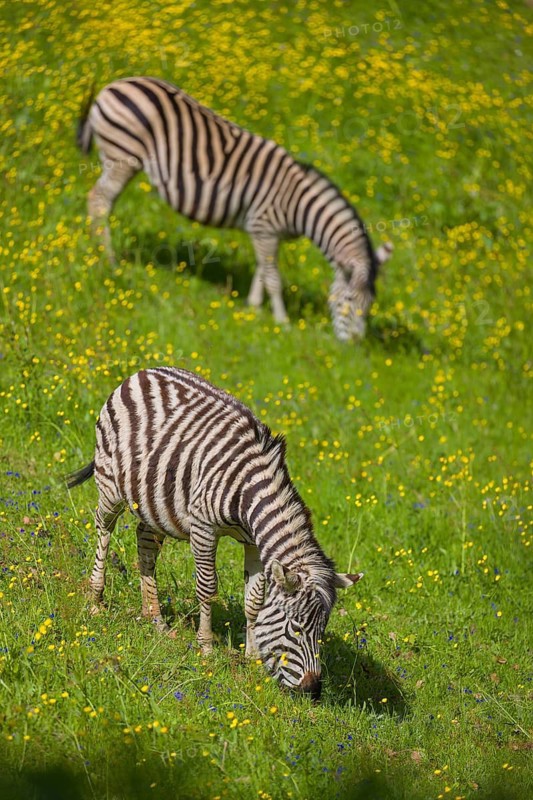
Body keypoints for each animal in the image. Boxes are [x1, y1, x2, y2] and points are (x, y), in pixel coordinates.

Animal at [66, 367, 363, 698]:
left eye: (322, 632)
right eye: (296, 628)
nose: (312, 691)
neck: (249, 492)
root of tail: (143, 372)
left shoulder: (253, 543)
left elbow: (254, 599)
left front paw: (252, 656)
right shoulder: (203, 528)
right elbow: (207, 587)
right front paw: (206, 647)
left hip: (153, 503)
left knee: (146, 544)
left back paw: (155, 618)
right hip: (110, 484)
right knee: (103, 528)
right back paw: (95, 598)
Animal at [77, 76, 393, 341]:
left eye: (370, 306)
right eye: (348, 302)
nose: (353, 346)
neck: (300, 206)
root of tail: (114, 85)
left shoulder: (265, 233)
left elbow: (262, 271)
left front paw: (252, 309)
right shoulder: (264, 227)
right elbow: (273, 278)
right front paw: (282, 322)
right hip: (123, 156)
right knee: (99, 200)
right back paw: (106, 259)